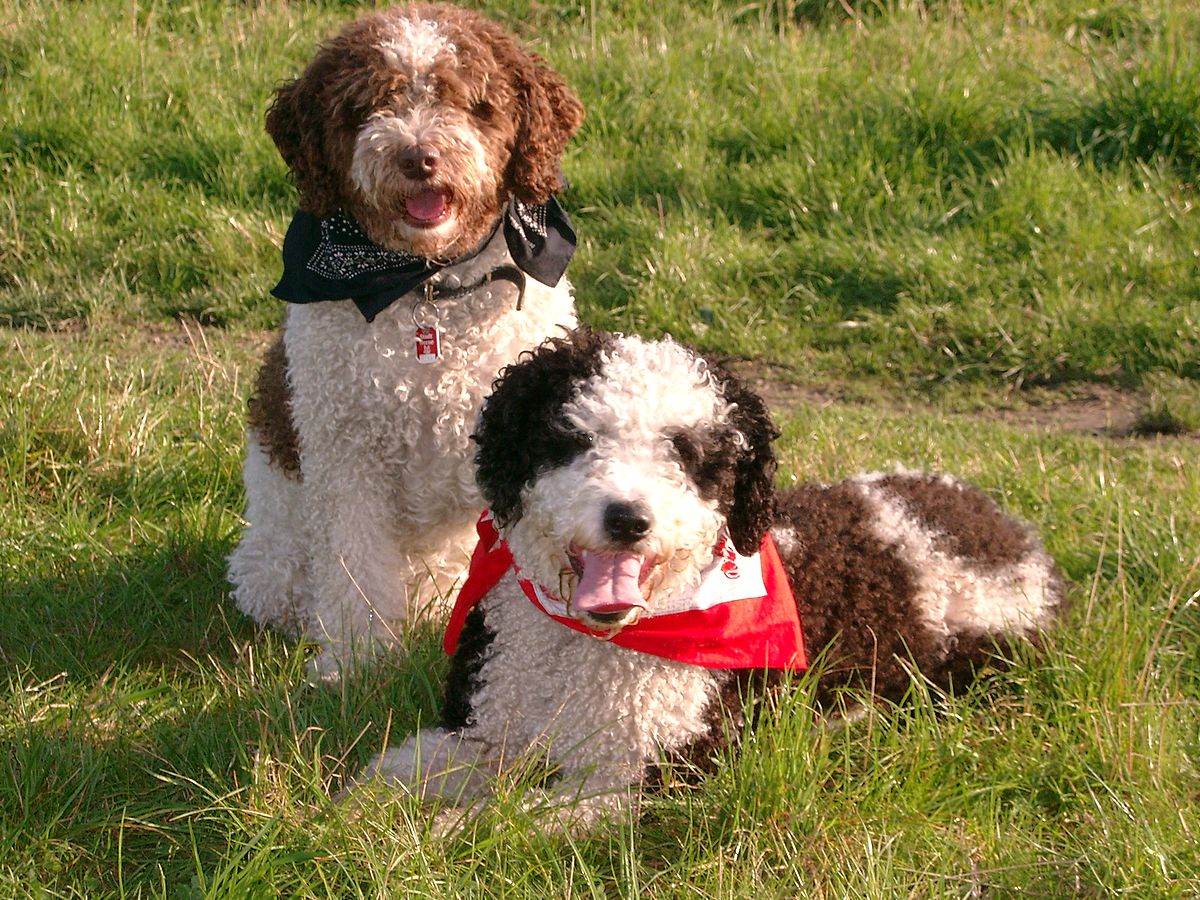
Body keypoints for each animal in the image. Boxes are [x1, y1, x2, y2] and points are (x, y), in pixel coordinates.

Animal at [229, 5, 585, 676]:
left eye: (471, 102)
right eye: (366, 106)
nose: (418, 157)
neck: (424, 288)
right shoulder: (347, 457)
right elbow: (355, 568)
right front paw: (356, 661)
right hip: (273, 565)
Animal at [350, 331, 1065, 830]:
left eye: (689, 453)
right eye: (572, 438)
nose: (628, 519)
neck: (589, 644)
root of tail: (1005, 527)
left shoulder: (648, 775)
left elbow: (506, 818)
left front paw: (444, 830)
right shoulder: (485, 728)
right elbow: (386, 774)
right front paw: (351, 813)